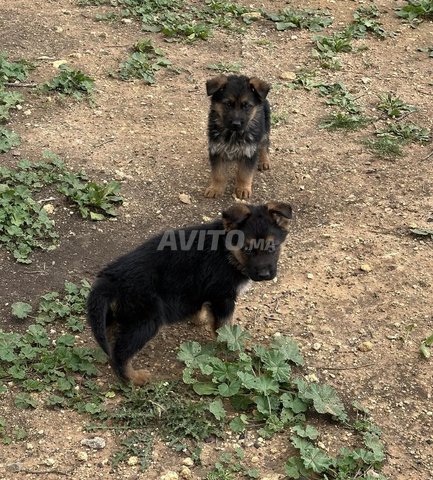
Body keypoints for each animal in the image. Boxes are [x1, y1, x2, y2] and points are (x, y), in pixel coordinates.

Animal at [87, 202, 292, 385]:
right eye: (248, 250)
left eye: (272, 248)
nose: (264, 275)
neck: (226, 250)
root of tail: (110, 279)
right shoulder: (223, 297)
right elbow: (225, 326)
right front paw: (231, 345)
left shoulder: (201, 290)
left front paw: (198, 319)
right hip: (145, 320)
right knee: (121, 352)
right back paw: (134, 378)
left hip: (118, 315)